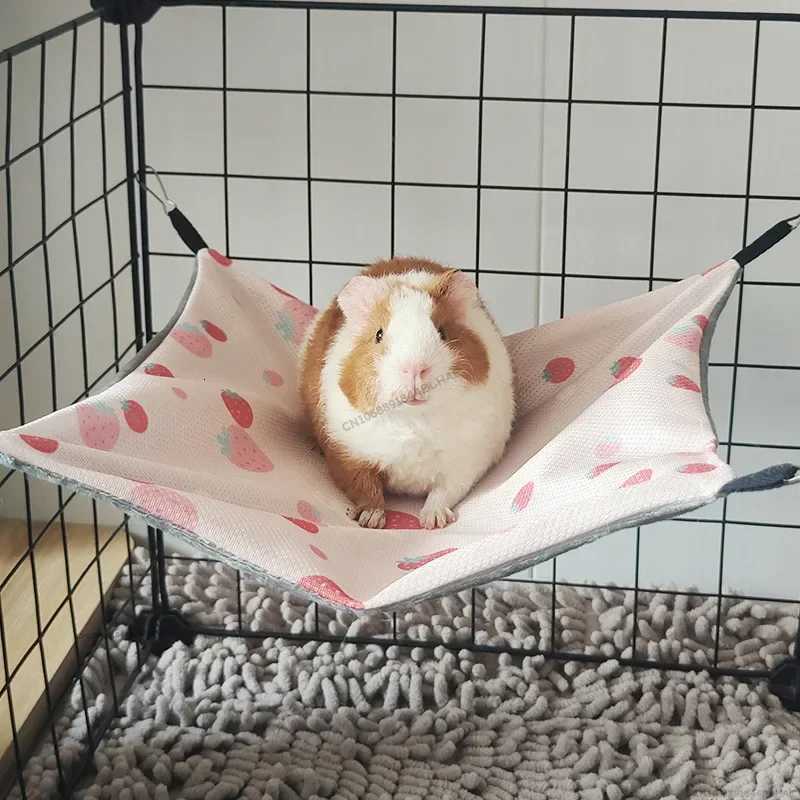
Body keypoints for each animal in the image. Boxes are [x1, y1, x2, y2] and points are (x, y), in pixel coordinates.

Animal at [298, 257, 514, 529]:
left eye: (442, 332)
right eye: (378, 334)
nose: (414, 368)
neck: (414, 419)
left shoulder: (466, 462)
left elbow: (443, 492)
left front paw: (433, 521)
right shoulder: (348, 455)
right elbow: (365, 488)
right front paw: (371, 520)